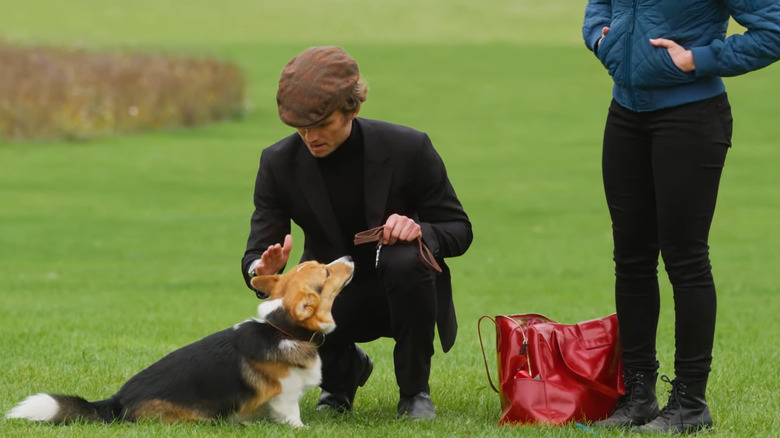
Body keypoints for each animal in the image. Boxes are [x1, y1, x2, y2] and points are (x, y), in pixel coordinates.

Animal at [5, 256, 354, 428]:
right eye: (325, 272)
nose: (350, 255)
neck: (283, 329)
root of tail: (116, 401)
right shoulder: (285, 394)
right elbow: (292, 416)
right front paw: (302, 430)